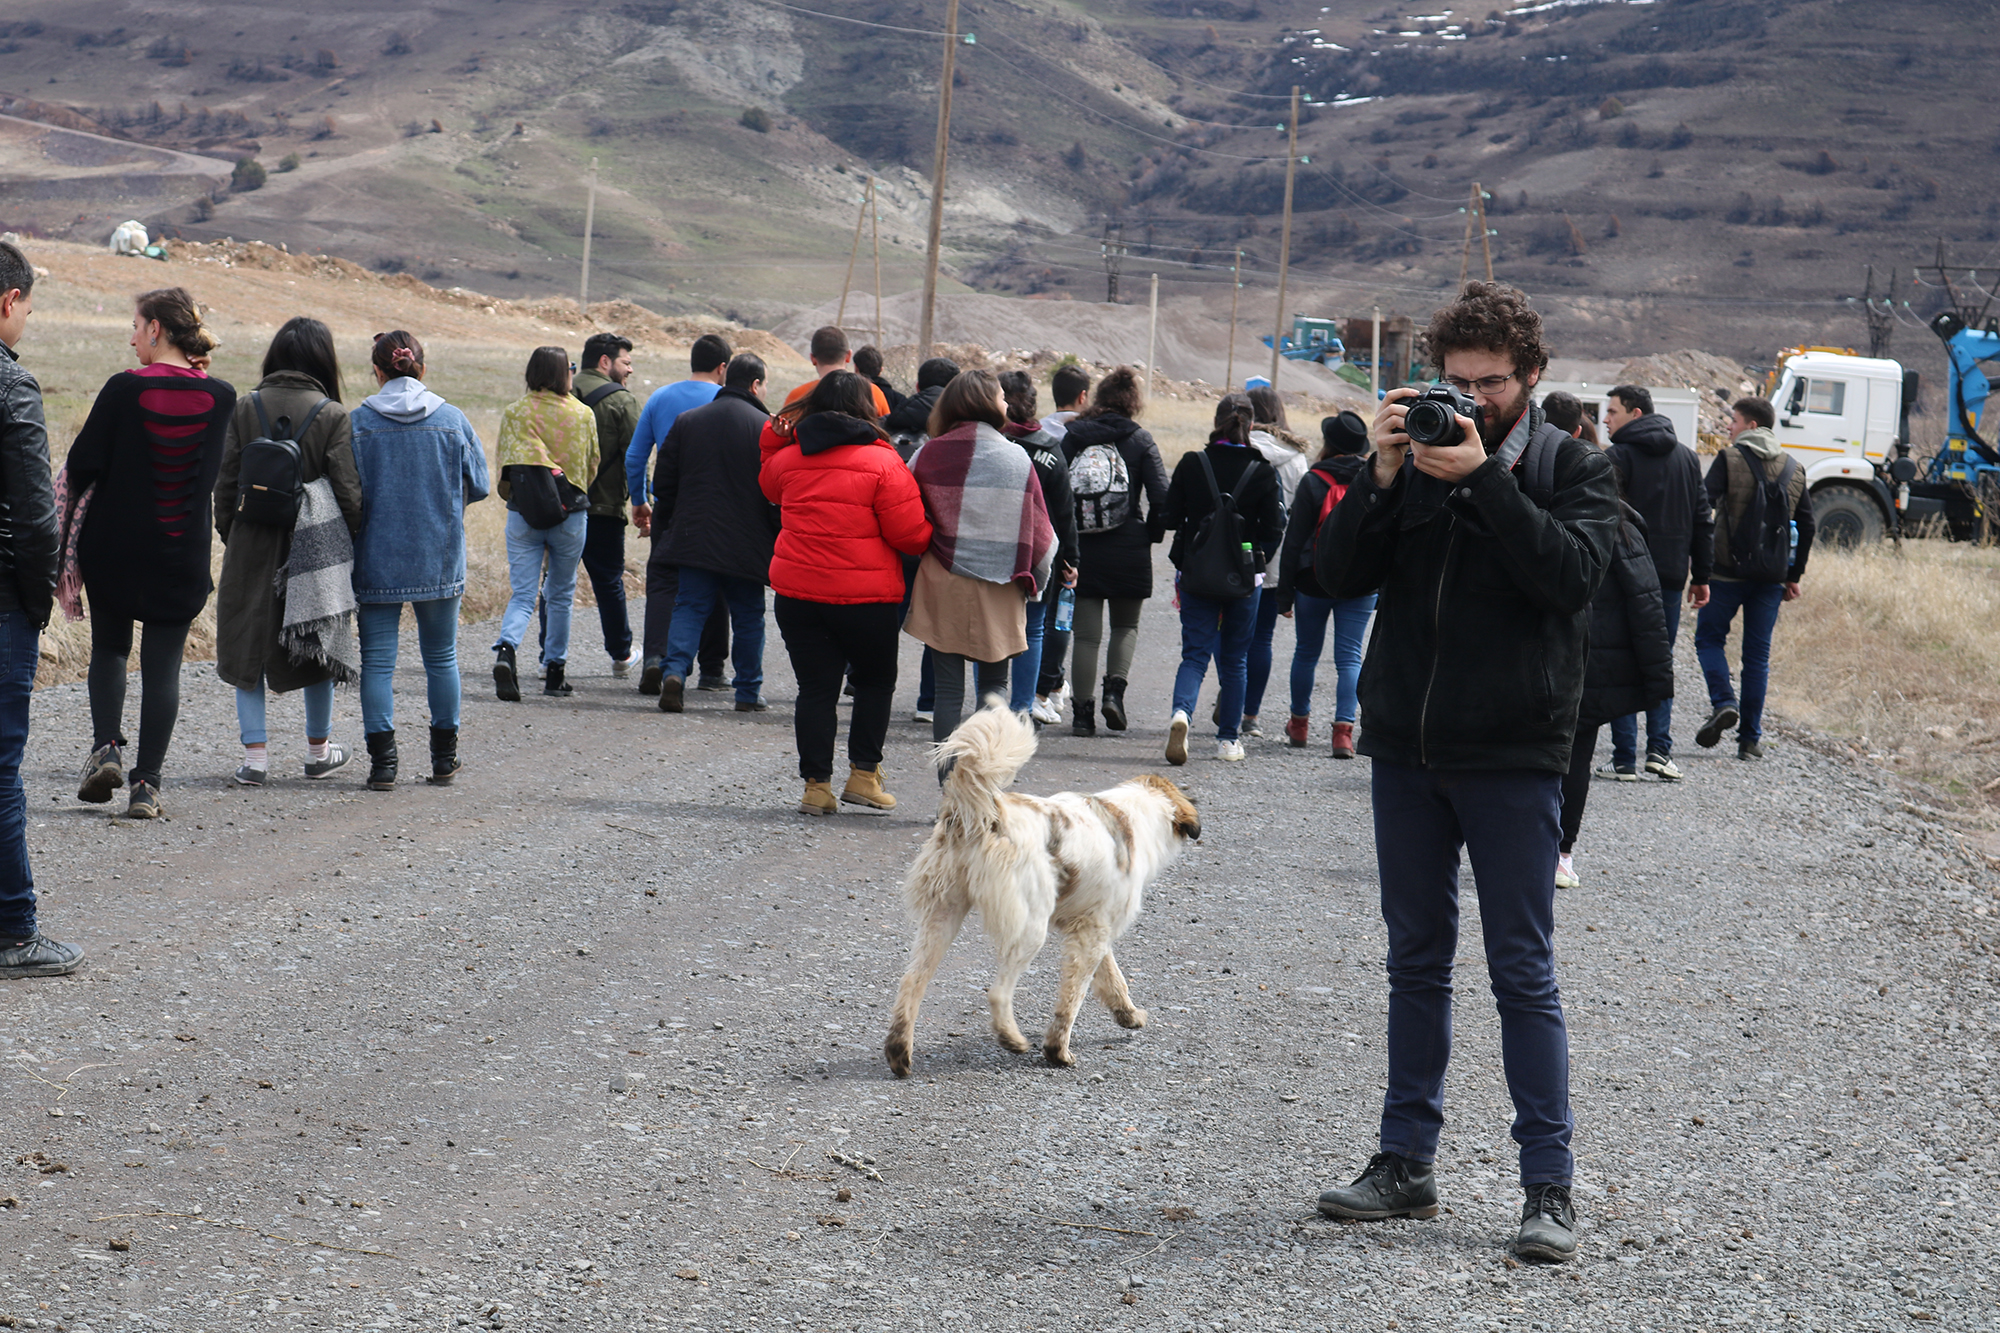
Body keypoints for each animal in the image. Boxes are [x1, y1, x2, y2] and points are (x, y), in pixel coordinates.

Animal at [884, 700, 1192, 1072]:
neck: (1132, 815)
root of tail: (984, 815)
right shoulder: (1090, 935)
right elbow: (1072, 997)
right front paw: (1057, 1050)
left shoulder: (1091, 926)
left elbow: (1112, 978)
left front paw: (1128, 1015)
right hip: (1030, 928)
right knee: (998, 992)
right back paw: (1012, 1038)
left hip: (942, 917)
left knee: (911, 982)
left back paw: (899, 1050)